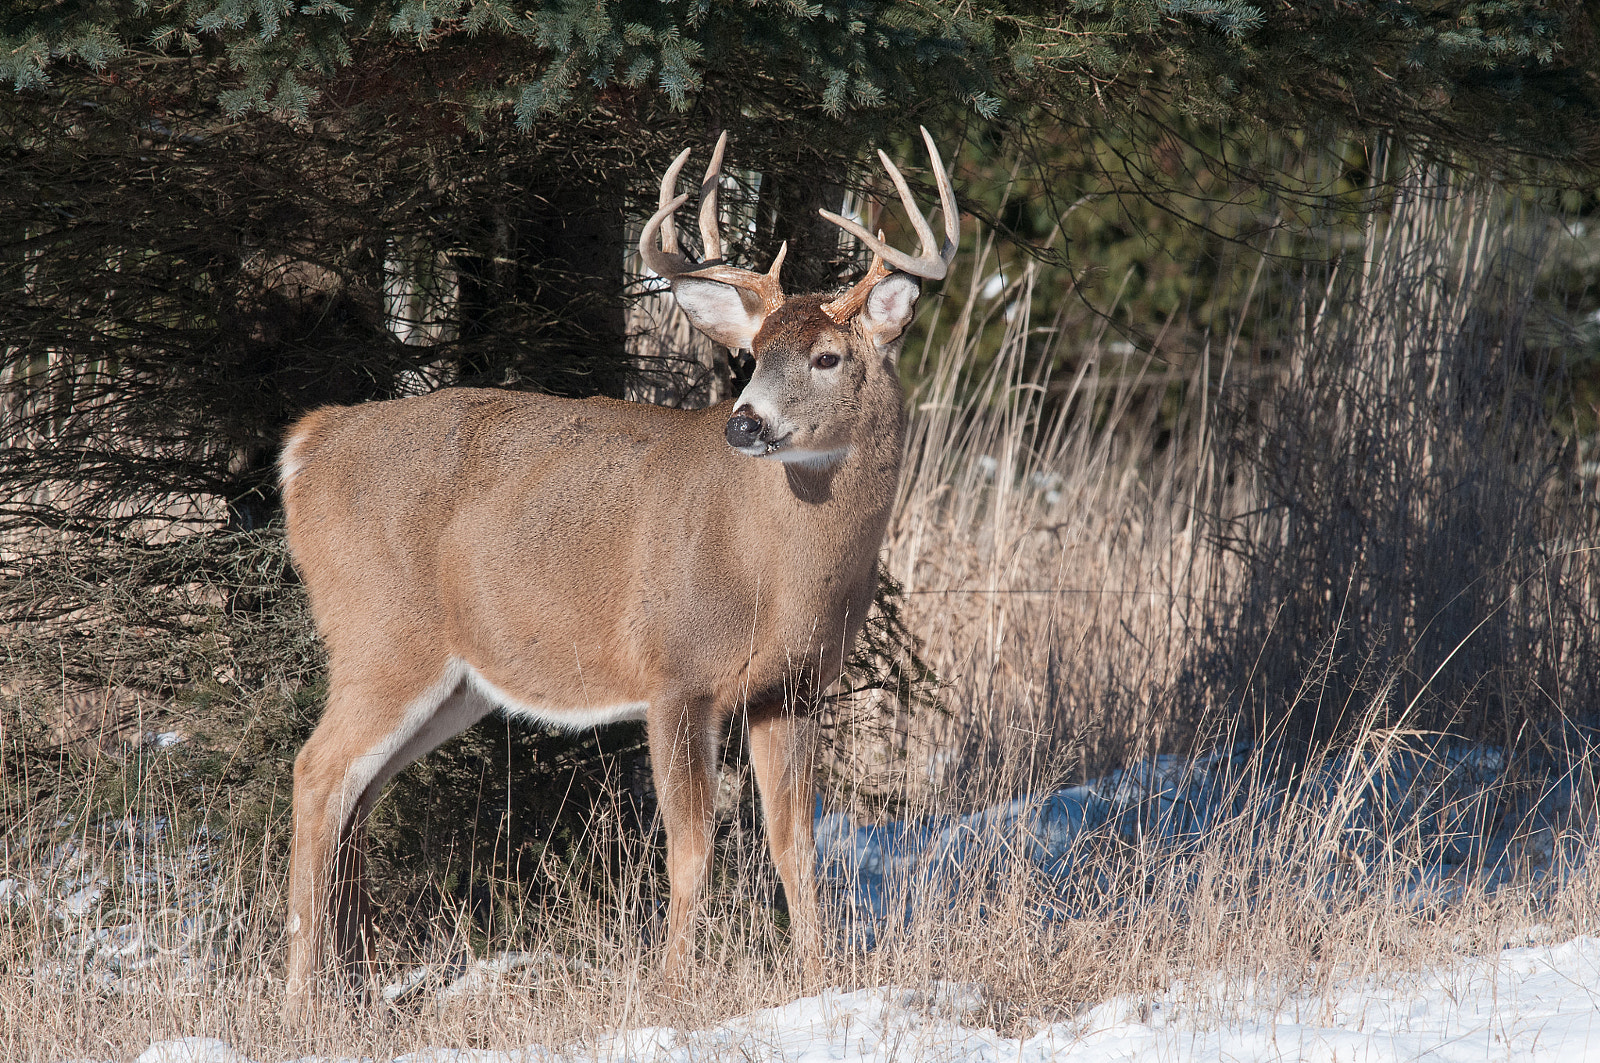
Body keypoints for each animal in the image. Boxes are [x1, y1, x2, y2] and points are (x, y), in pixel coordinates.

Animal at [278, 128, 959, 1019]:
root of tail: (307, 446)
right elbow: (691, 847)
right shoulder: (676, 672)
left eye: (828, 356)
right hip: (381, 633)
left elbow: (797, 845)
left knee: (357, 792)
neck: (775, 573)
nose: (746, 423)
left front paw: (820, 984)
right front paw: (674, 992)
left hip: (453, 678)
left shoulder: (792, 686)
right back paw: (299, 996)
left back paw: (351, 986)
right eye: (750, 355)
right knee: (316, 772)